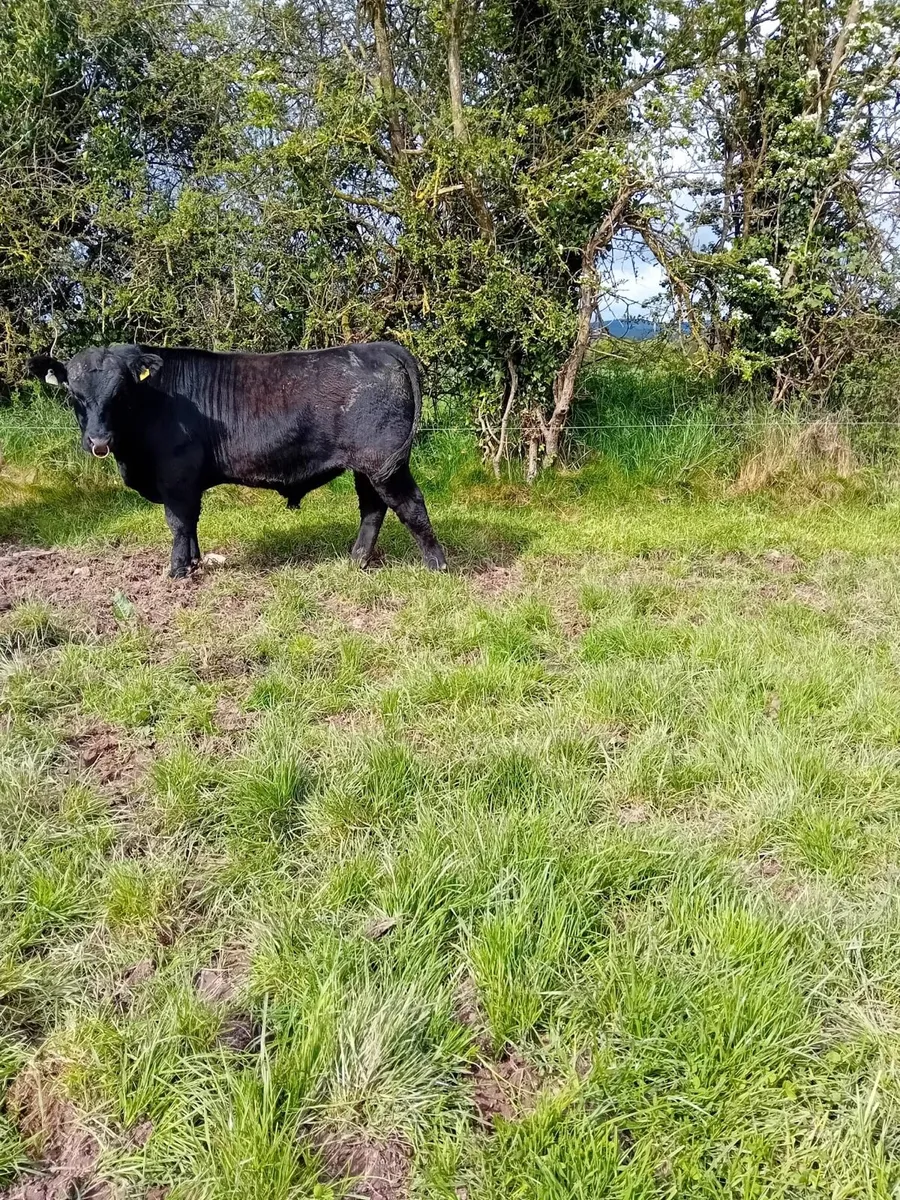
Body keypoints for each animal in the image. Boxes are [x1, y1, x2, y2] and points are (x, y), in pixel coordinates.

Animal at [28, 341, 447, 578]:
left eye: (121, 393)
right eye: (74, 396)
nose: (99, 441)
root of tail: (379, 346)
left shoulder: (176, 477)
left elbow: (178, 523)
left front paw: (178, 570)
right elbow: (190, 523)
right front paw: (194, 561)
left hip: (384, 461)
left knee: (410, 505)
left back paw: (437, 566)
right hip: (367, 466)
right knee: (373, 508)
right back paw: (357, 560)